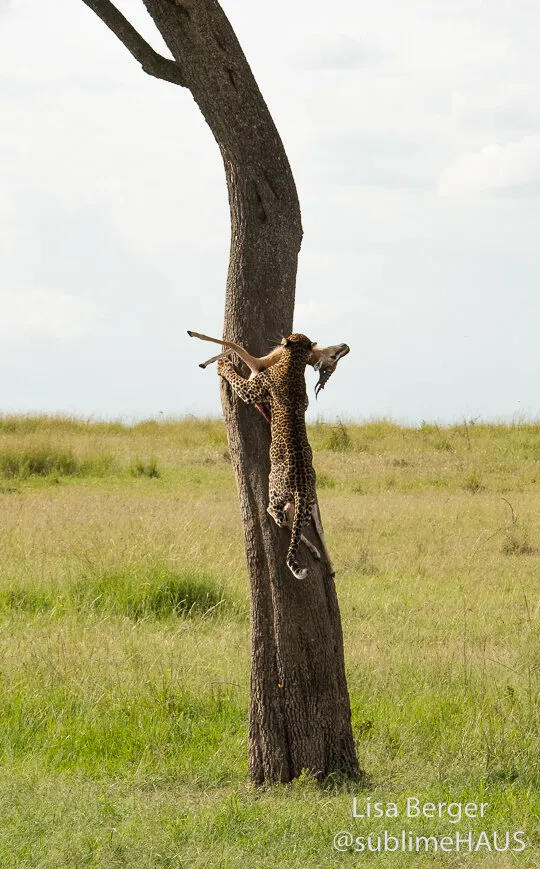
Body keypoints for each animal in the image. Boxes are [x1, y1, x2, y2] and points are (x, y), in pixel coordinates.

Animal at [217, 333, 333, 580]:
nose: (281, 340)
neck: (294, 364)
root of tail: (301, 486)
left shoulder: (250, 391)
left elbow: (237, 381)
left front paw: (223, 365)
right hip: (307, 504)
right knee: (293, 523)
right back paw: (314, 549)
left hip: (274, 487)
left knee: (274, 513)